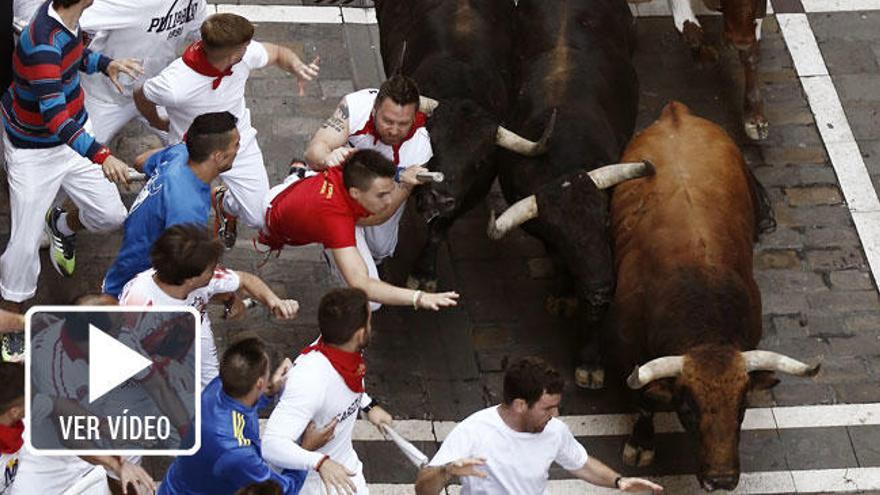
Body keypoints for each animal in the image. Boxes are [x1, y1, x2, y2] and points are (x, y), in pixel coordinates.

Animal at [604, 101, 820, 492]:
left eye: (743, 408)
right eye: (688, 410)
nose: (721, 479)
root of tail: (677, 112)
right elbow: (643, 400)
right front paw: (641, 442)